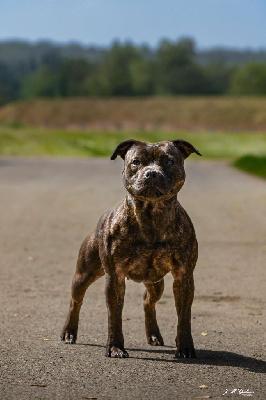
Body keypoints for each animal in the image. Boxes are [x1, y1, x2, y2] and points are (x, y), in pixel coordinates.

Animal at [60, 139, 202, 358]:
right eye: (136, 162)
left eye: (169, 161)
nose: (151, 173)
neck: (151, 216)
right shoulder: (115, 278)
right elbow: (114, 316)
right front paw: (115, 347)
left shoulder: (184, 276)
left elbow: (184, 316)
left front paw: (185, 347)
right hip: (84, 274)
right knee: (75, 301)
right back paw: (69, 332)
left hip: (156, 284)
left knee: (148, 302)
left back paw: (153, 334)